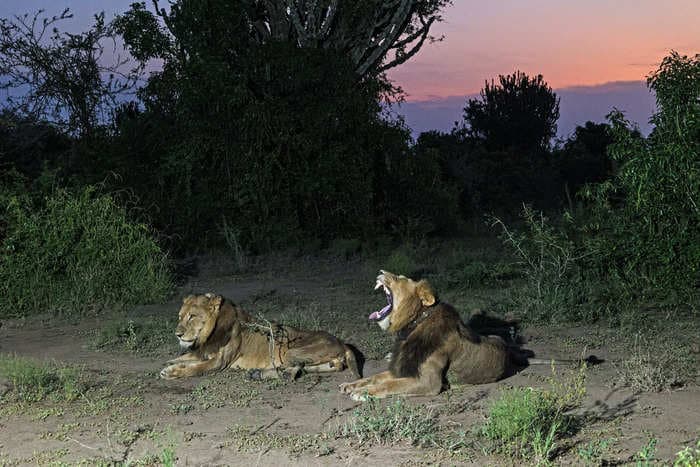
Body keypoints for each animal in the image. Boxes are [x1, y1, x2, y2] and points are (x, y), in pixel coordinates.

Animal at [159, 294, 360, 382]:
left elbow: (195, 368)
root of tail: (342, 342)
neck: (209, 335)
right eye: (180, 316)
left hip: (290, 352)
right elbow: (181, 358)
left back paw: (260, 374)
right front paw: (169, 364)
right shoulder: (201, 352)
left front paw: (172, 372)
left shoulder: (219, 362)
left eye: (192, 316)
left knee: (292, 371)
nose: (177, 333)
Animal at [340, 272, 516, 400]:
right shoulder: (404, 368)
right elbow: (375, 377)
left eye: (399, 278)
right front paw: (351, 385)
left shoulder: (428, 382)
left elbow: (389, 384)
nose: (381, 272)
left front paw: (362, 392)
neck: (411, 328)